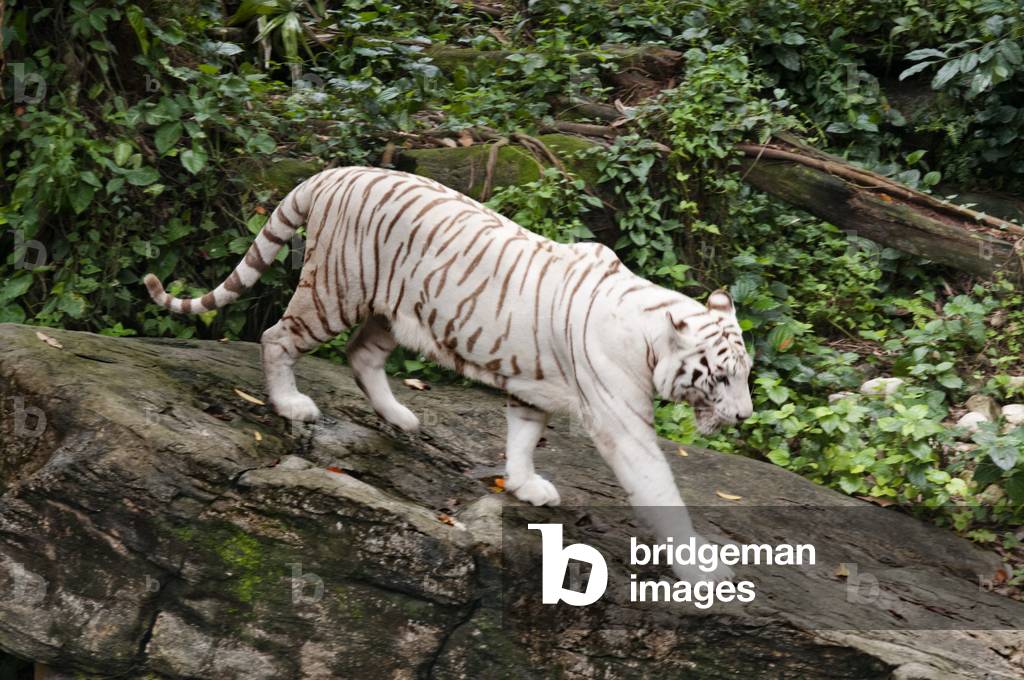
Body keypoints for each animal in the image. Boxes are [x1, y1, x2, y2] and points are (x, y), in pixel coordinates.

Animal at [144, 166, 753, 582]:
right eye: (720, 379)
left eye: (746, 376)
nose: (745, 416)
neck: (649, 336)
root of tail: (333, 172)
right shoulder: (621, 422)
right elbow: (659, 487)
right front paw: (704, 569)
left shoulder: (533, 386)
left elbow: (523, 436)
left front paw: (526, 486)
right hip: (334, 293)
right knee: (276, 337)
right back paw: (290, 404)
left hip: (393, 310)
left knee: (361, 356)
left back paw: (402, 418)